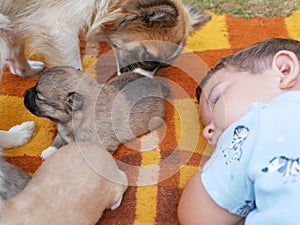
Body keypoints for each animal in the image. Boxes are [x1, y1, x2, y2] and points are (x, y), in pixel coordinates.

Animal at [24, 66, 168, 159]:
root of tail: (148, 78)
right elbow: (59, 139)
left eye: (38, 97)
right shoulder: (62, 131)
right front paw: (49, 151)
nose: (24, 93)